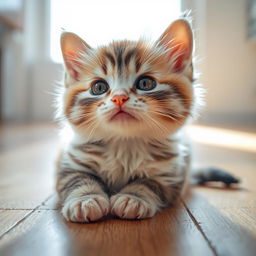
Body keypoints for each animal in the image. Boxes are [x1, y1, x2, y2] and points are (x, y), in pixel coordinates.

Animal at [55, 19, 239, 222]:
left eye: (145, 83)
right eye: (99, 87)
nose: (119, 98)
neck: (125, 145)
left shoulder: (170, 173)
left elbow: (150, 183)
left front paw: (133, 198)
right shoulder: (69, 162)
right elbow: (76, 179)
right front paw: (86, 199)